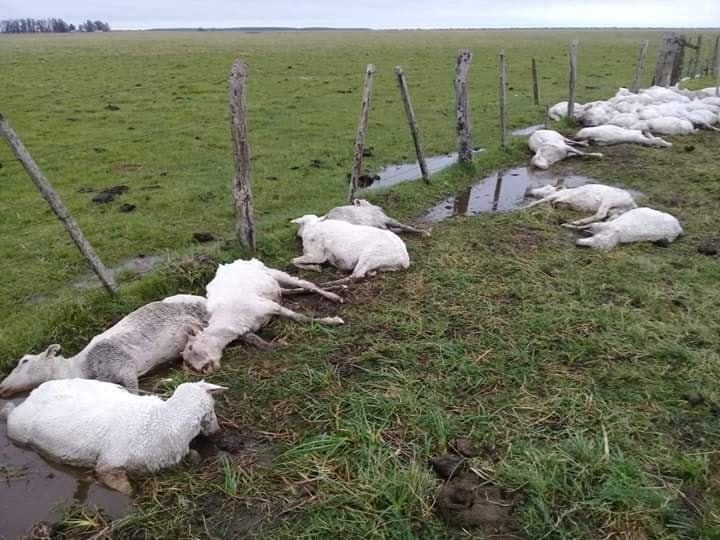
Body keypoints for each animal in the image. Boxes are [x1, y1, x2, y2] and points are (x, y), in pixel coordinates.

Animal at [4, 378, 226, 494]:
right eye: (212, 410)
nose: (219, 434)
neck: (164, 418)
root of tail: (32, 394)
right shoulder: (109, 465)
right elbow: (122, 486)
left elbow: (193, 455)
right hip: (17, 428)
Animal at [181, 258, 344, 374]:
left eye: (191, 347)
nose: (204, 369)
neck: (231, 320)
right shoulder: (247, 330)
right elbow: (260, 343)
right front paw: (279, 344)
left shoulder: (267, 306)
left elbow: (299, 317)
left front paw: (332, 321)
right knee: (290, 290)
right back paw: (339, 286)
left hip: (272, 272)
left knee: (307, 284)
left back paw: (335, 295)